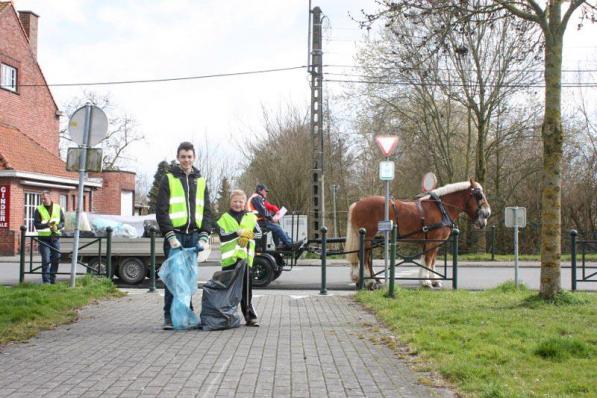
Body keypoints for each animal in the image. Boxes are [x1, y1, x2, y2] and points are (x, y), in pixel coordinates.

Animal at [342, 179, 492, 288]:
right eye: (479, 195)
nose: (487, 213)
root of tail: (357, 203)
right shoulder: (432, 241)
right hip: (368, 237)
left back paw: (371, 279)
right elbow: (428, 260)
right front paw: (426, 281)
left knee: (365, 258)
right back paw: (370, 281)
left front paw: (433, 280)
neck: (441, 208)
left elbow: (430, 261)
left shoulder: (432, 243)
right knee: (364, 257)